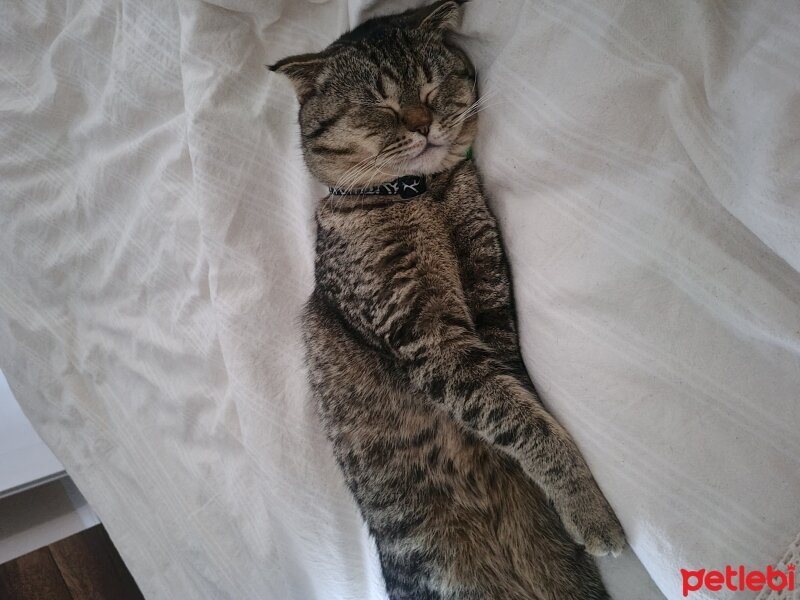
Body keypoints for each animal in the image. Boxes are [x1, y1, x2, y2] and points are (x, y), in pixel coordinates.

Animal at [272, 2, 628, 596]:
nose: (421, 123)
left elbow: (514, 398)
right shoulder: (424, 334)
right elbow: (518, 417)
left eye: (431, 85)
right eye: (379, 103)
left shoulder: (489, 298)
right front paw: (591, 508)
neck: (422, 193)